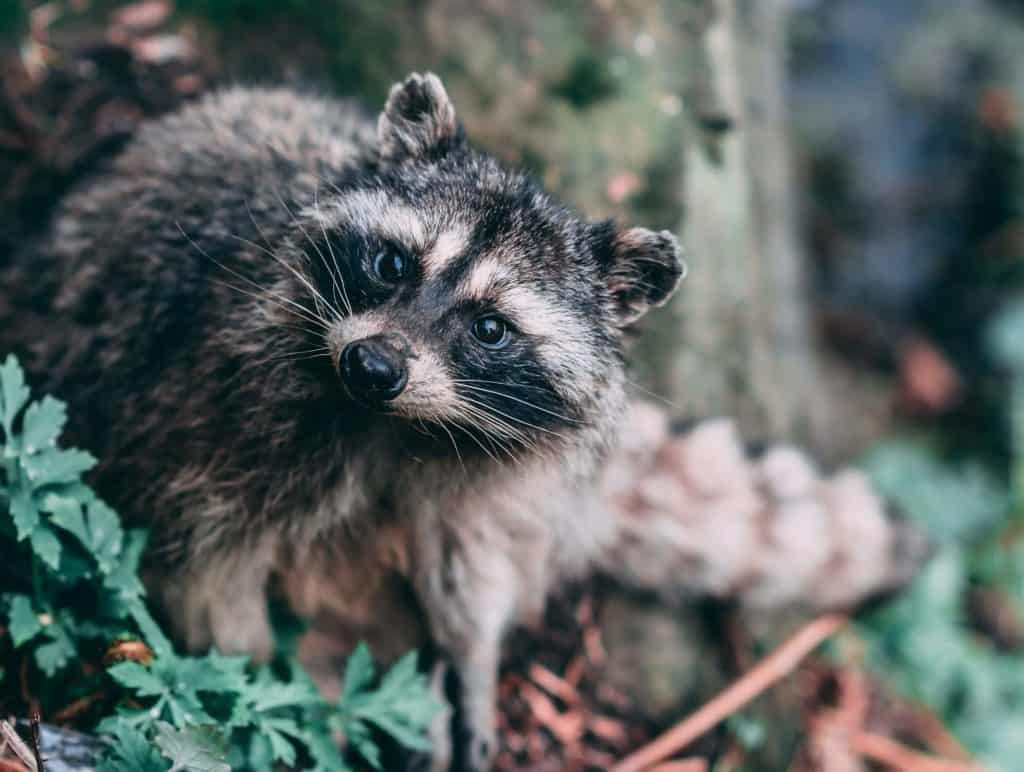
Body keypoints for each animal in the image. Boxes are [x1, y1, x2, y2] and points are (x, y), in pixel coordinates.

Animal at [1, 74, 683, 769]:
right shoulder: (209, 408)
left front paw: (473, 657)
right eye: (393, 264)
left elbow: (470, 566)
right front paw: (279, 693)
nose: (373, 365)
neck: (399, 424)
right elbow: (205, 574)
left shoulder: (499, 474)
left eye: (491, 328)